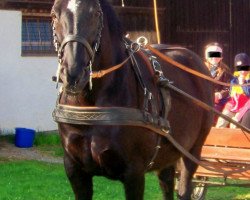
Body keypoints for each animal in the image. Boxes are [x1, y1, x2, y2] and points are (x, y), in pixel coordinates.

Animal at [50, 0, 213, 199]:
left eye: (96, 13)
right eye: (54, 15)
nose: (73, 75)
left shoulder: (134, 174)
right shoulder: (75, 170)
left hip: (192, 150)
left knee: (185, 187)